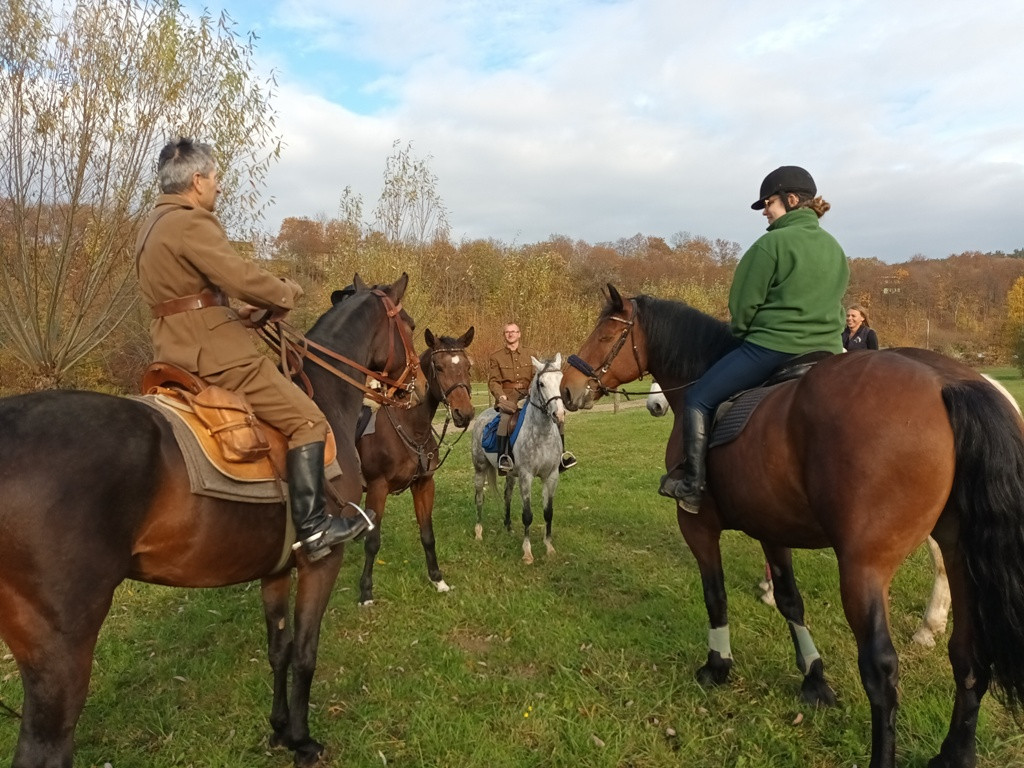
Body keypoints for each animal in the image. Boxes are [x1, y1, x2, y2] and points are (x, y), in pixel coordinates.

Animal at [0, 274, 419, 765]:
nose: (412, 386)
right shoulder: (322, 562)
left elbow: (279, 648)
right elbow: (305, 652)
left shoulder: (276, 570)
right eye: (410, 326)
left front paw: (279, 729)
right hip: (62, 649)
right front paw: (302, 741)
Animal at [356, 327, 475, 606]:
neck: (410, 426)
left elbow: (427, 534)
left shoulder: (423, 484)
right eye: (439, 367)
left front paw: (437, 579)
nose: (464, 414)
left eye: (467, 367)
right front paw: (366, 592)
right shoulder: (377, 489)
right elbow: (372, 542)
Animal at [561, 286, 1024, 768]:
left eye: (605, 333)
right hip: (961, 553)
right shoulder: (772, 529)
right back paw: (956, 750)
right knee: (969, 654)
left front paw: (718, 665)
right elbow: (790, 601)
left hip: (864, 567)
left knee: (881, 668)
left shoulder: (698, 526)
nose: (567, 388)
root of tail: (948, 382)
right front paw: (813, 678)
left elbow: (715, 596)